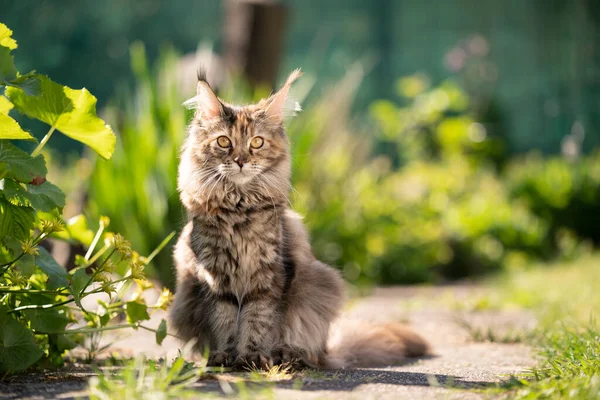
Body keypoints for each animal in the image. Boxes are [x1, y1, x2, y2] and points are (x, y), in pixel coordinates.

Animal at [169, 68, 432, 368]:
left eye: (256, 142)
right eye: (224, 142)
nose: (241, 161)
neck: (239, 208)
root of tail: (328, 350)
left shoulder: (268, 277)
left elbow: (257, 319)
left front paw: (251, 357)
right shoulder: (214, 277)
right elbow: (224, 322)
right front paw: (224, 357)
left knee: (305, 345)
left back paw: (287, 355)